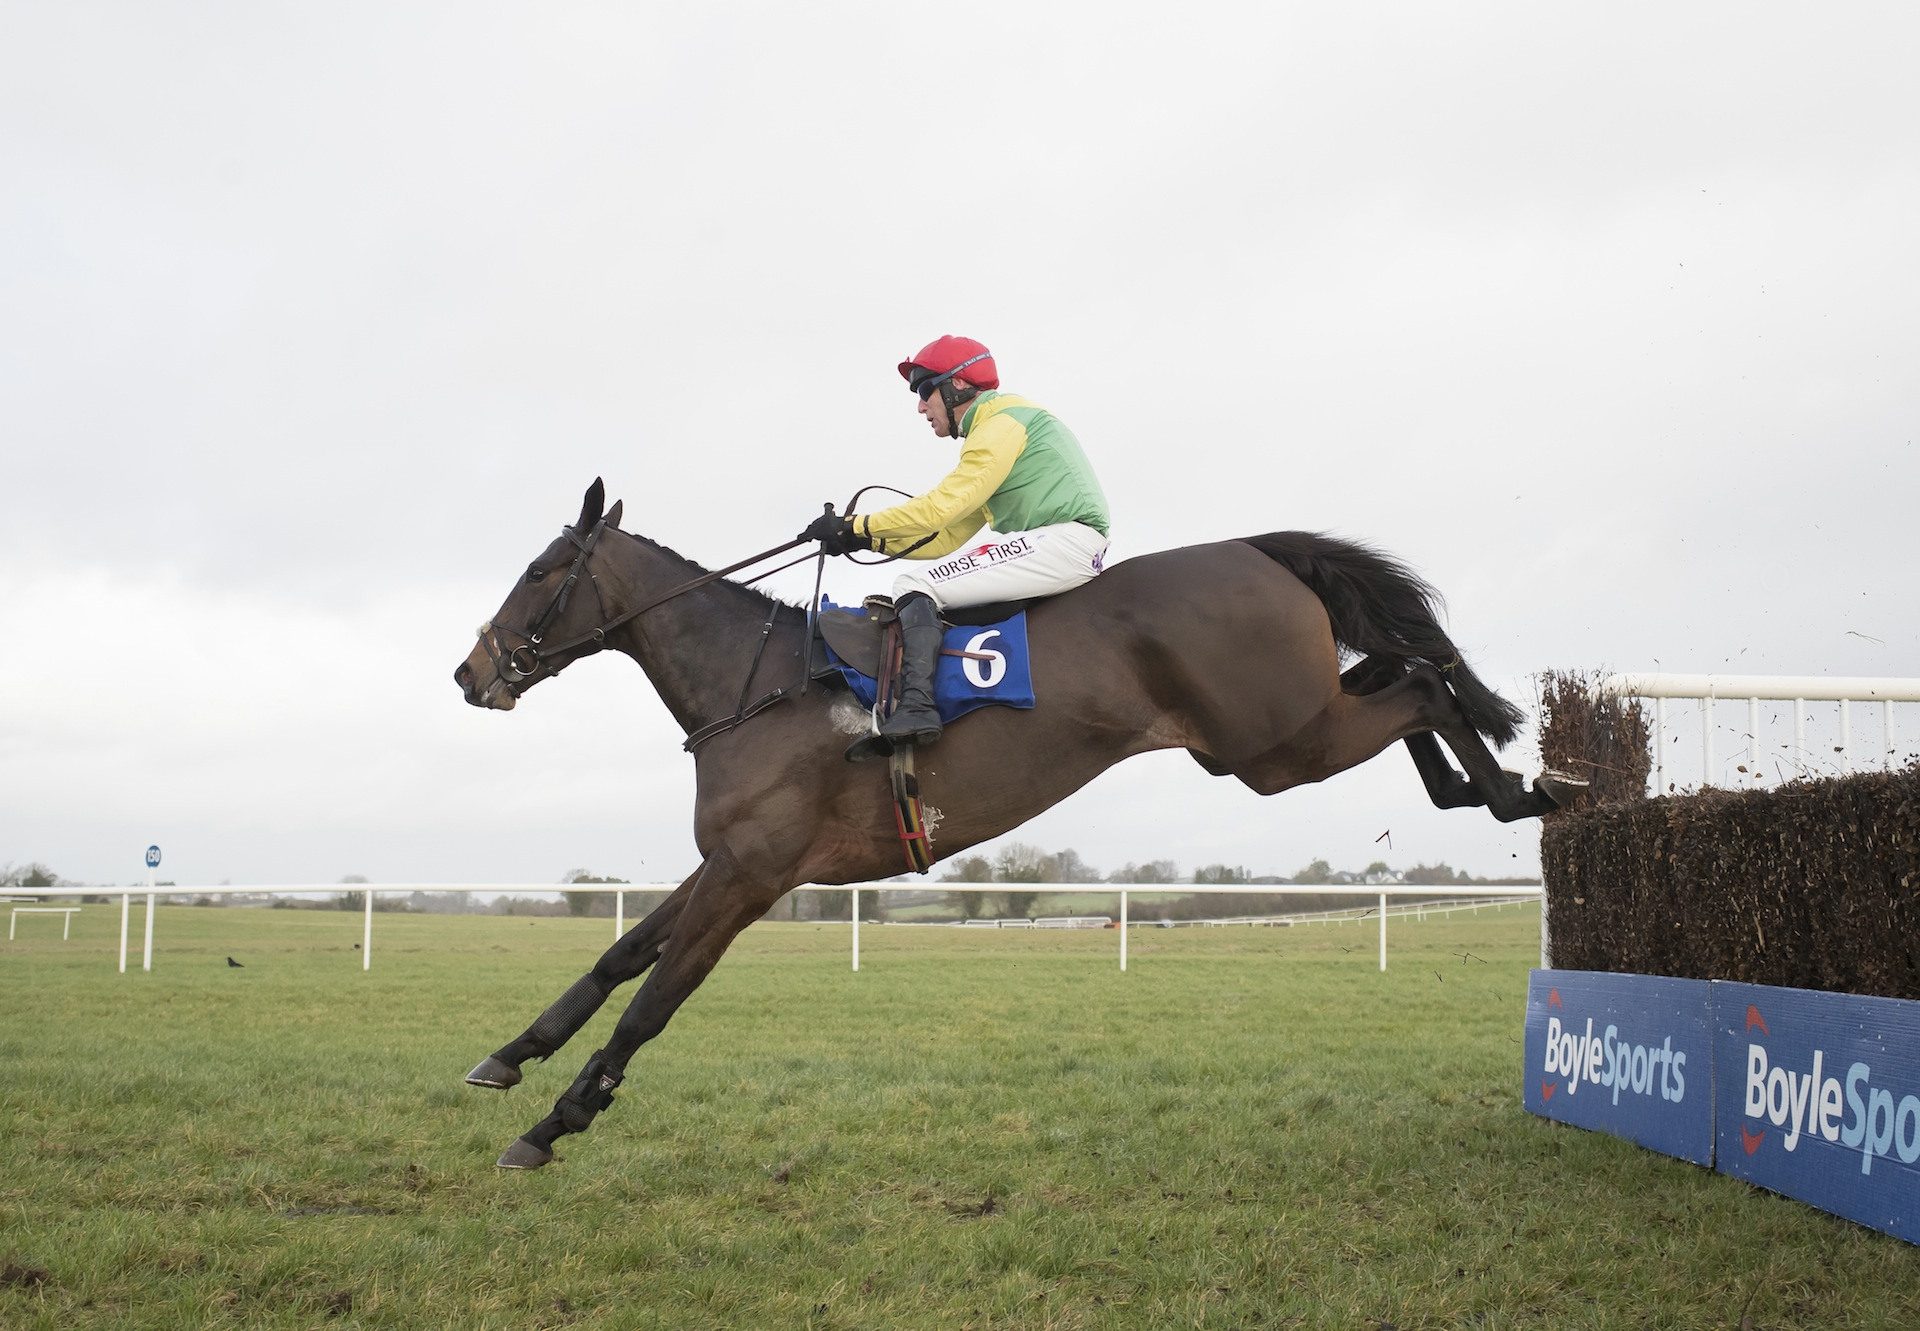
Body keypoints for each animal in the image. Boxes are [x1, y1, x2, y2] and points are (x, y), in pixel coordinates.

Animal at [456, 478, 1582, 1160]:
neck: (764, 683)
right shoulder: (732, 859)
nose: (472, 672)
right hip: (1276, 731)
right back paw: (1493, 785)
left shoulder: (754, 873)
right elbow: (619, 958)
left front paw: (558, 1120)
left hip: (1273, 744)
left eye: (539, 572)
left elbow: (655, 1000)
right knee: (1402, 672)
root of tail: (1255, 548)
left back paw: (1520, 788)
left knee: (1424, 682)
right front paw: (510, 1054)